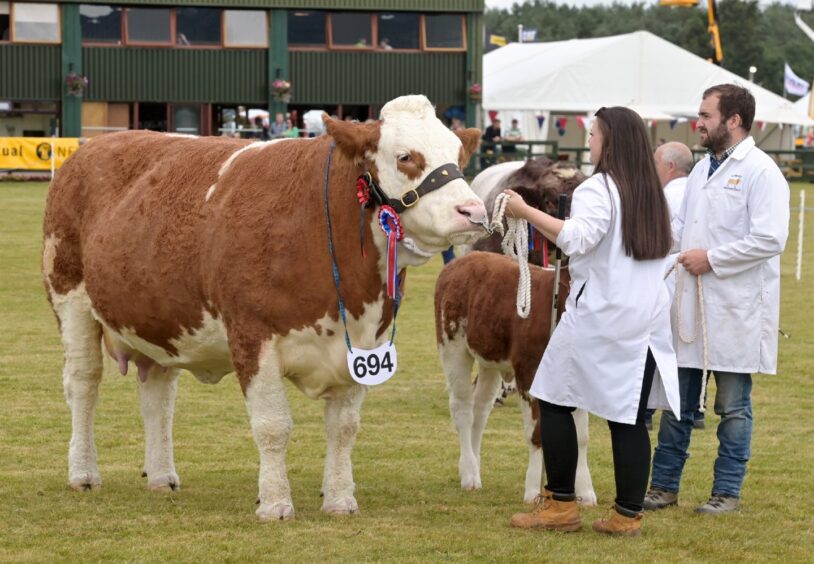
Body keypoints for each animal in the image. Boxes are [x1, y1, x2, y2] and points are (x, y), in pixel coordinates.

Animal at [43, 94, 484, 524]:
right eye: (406, 156)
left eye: (458, 155)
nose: (474, 211)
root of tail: (94, 146)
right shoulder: (252, 337)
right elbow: (273, 426)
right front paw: (275, 504)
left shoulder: (363, 346)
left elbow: (344, 428)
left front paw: (340, 499)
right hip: (70, 298)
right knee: (83, 383)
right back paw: (83, 472)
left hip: (159, 316)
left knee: (158, 394)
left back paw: (162, 475)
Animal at [434, 253, 600, 504]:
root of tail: (462, 260)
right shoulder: (528, 372)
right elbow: (537, 433)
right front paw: (533, 491)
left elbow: (581, 438)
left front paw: (585, 492)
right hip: (453, 347)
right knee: (463, 408)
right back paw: (469, 475)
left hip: (489, 357)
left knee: (480, 409)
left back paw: (475, 467)